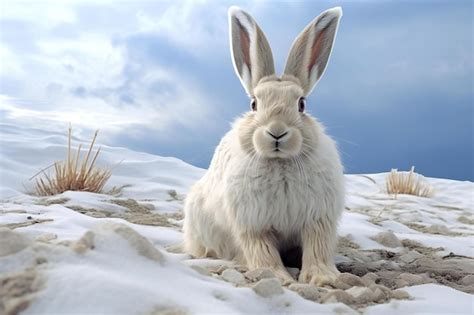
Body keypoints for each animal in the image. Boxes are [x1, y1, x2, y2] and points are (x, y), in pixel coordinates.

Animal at [182, 5, 344, 286]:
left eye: (302, 104)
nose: (276, 132)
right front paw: (277, 276)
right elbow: (262, 250)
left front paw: (323, 278)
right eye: (254, 104)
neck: (280, 163)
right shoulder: (253, 225)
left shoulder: (317, 221)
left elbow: (317, 248)